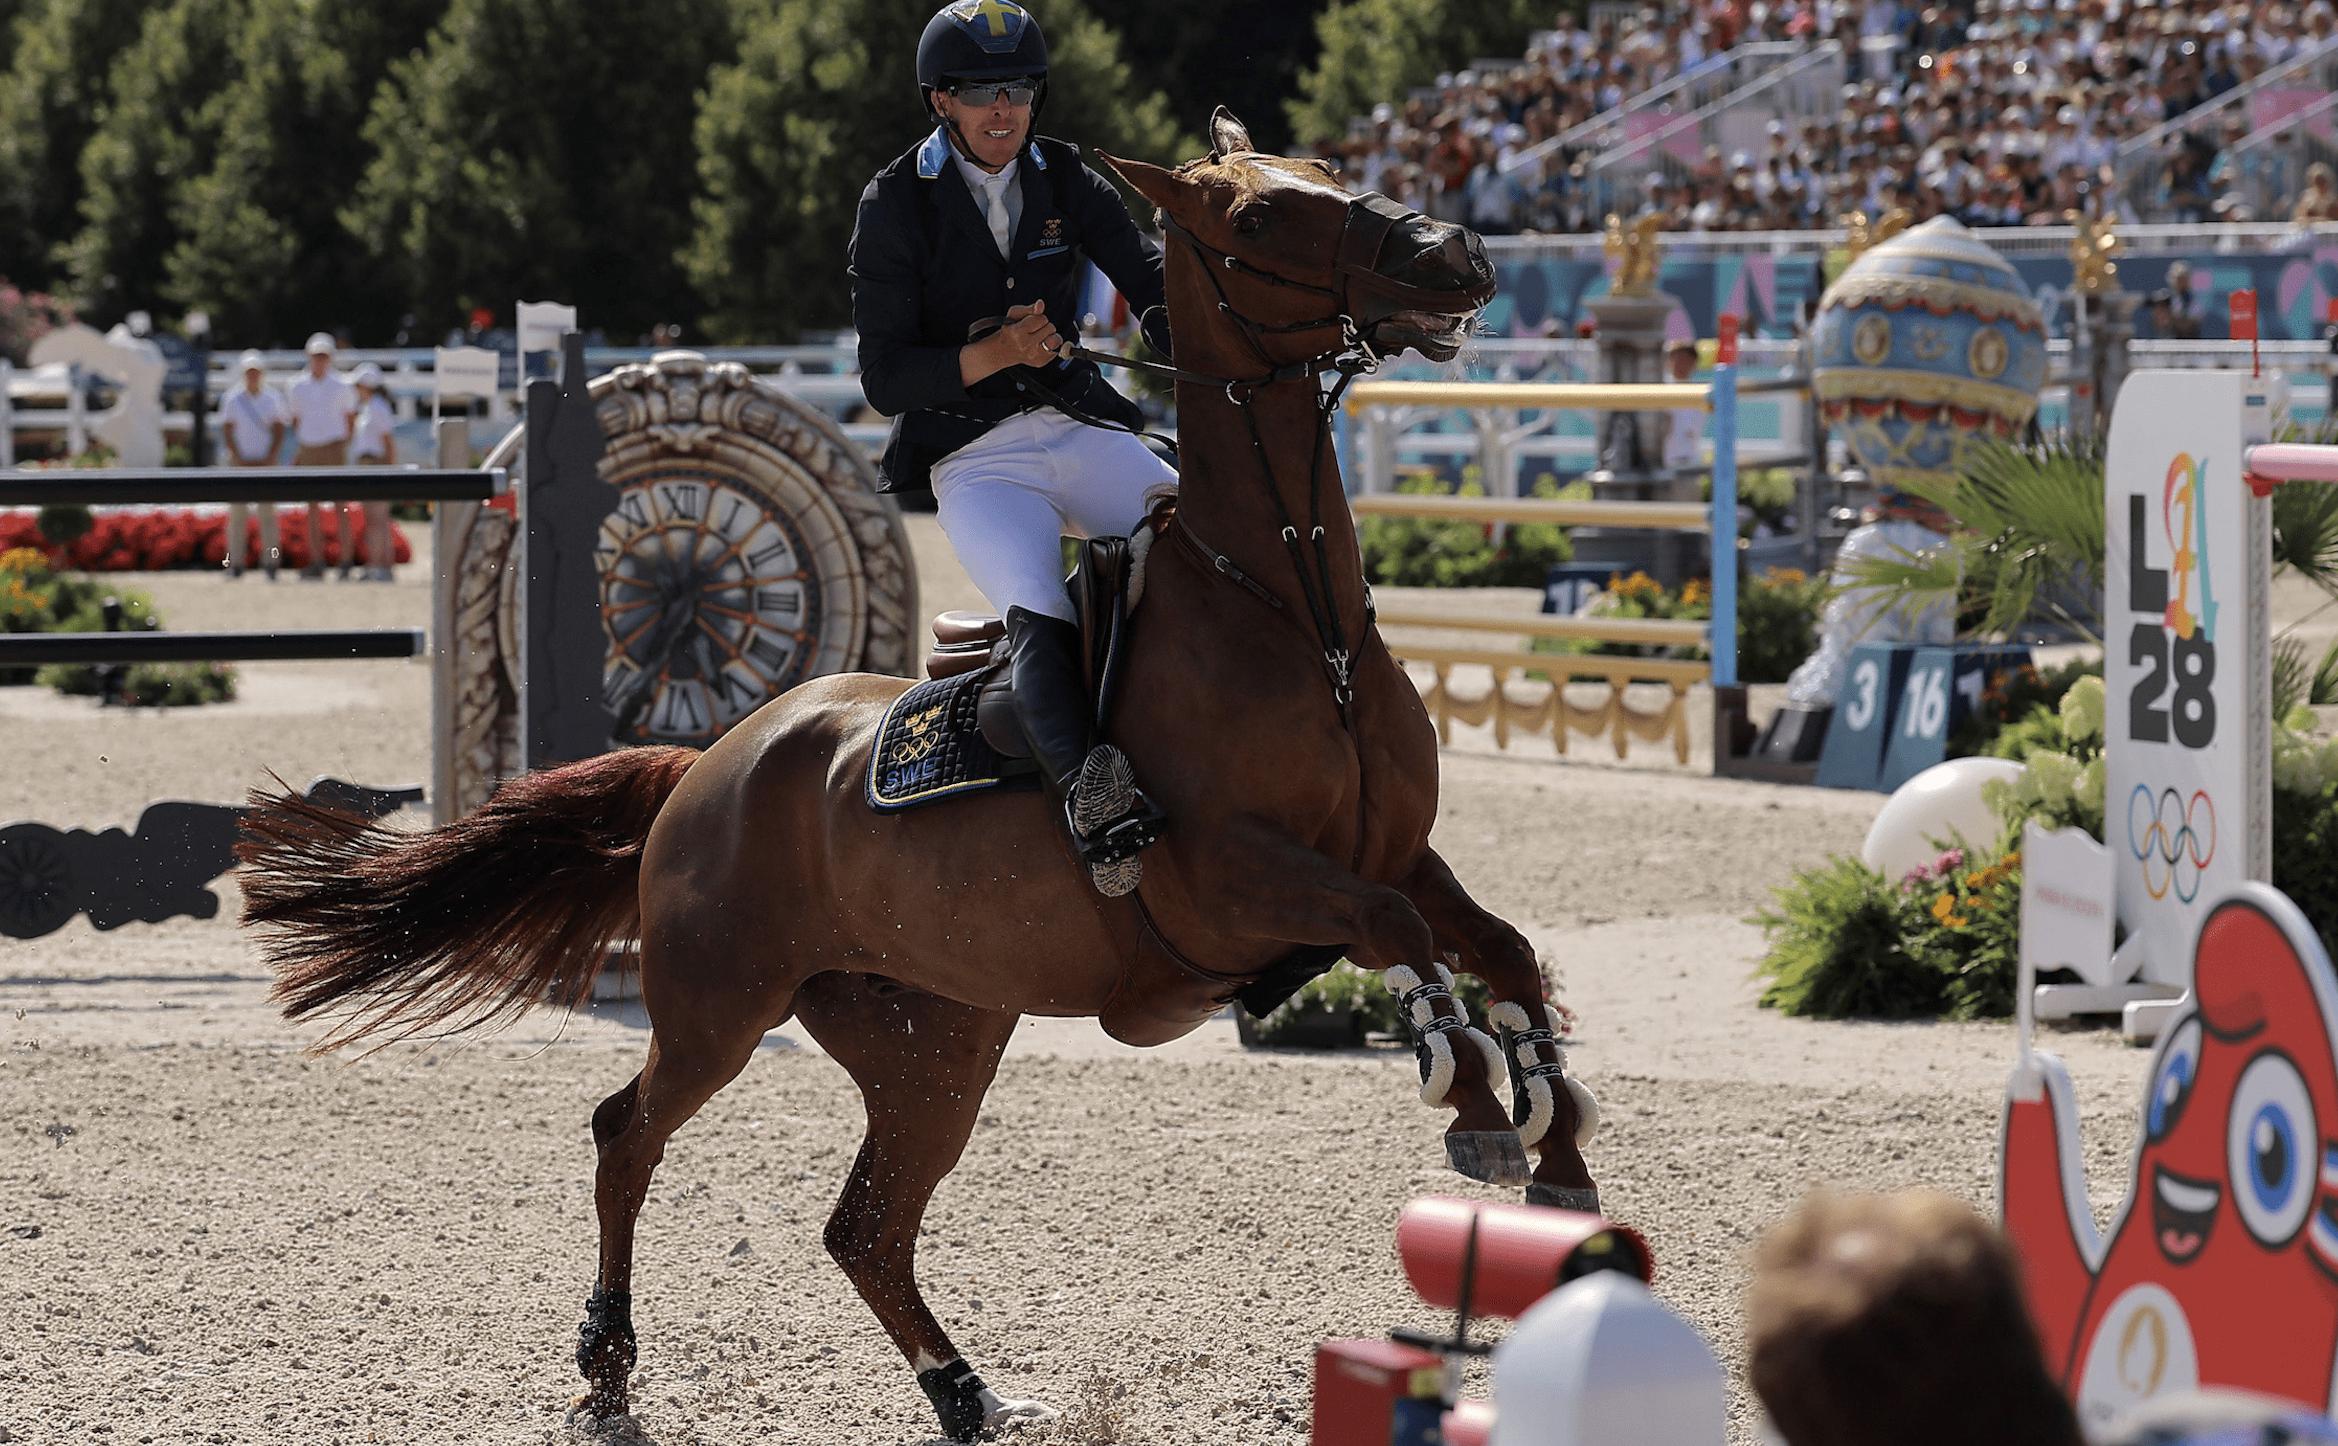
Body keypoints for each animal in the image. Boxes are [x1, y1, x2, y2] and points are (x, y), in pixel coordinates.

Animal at [237, 109, 1599, 1431]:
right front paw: (1476, 1109)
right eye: (1262, 217)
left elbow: (1498, 946)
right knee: (629, 1137)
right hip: (720, 1012)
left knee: (866, 1227)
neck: (1294, 615)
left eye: (1326, 165)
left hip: (933, 1042)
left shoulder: (1394, 854)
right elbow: (1400, 941)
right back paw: (609, 1369)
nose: (1455, 256)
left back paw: (968, 1392)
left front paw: (1559, 1148)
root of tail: (705, 766)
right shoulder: (1234, 883)